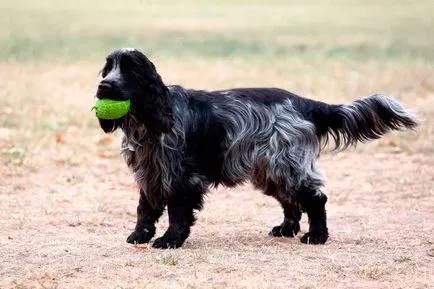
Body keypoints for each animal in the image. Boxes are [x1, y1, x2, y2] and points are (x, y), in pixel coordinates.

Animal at [94, 47, 418, 248]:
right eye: (107, 69)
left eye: (130, 71)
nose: (103, 86)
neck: (150, 120)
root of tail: (306, 103)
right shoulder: (151, 173)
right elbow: (145, 208)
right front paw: (139, 235)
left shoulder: (183, 178)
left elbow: (177, 212)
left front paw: (170, 240)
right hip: (271, 169)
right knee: (291, 202)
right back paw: (286, 230)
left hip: (286, 165)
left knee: (315, 199)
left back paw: (317, 236)